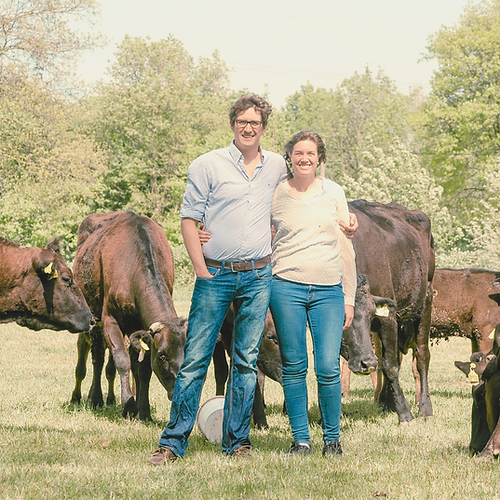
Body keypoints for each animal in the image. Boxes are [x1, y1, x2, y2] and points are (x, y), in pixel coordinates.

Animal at [71, 209, 187, 420]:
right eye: (162, 356)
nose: (179, 393)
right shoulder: (110, 318)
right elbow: (122, 360)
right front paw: (129, 406)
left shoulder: (142, 330)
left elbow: (142, 368)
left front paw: (144, 410)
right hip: (94, 317)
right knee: (98, 357)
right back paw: (95, 399)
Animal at [346, 199, 436, 422]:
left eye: (370, 313)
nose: (367, 363)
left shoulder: (388, 318)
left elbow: (390, 366)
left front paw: (405, 413)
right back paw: (386, 402)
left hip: (425, 303)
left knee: (421, 357)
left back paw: (425, 408)